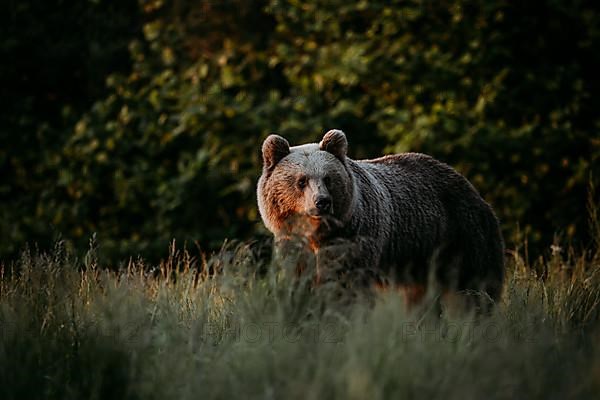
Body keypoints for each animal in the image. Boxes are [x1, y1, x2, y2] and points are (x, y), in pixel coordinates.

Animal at [255, 130, 504, 308]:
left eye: (328, 178)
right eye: (301, 180)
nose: (322, 202)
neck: (317, 233)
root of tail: (470, 187)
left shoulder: (353, 239)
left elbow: (344, 284)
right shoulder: (293, 244)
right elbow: (298, 283)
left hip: (462, 237)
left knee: (474, 288)